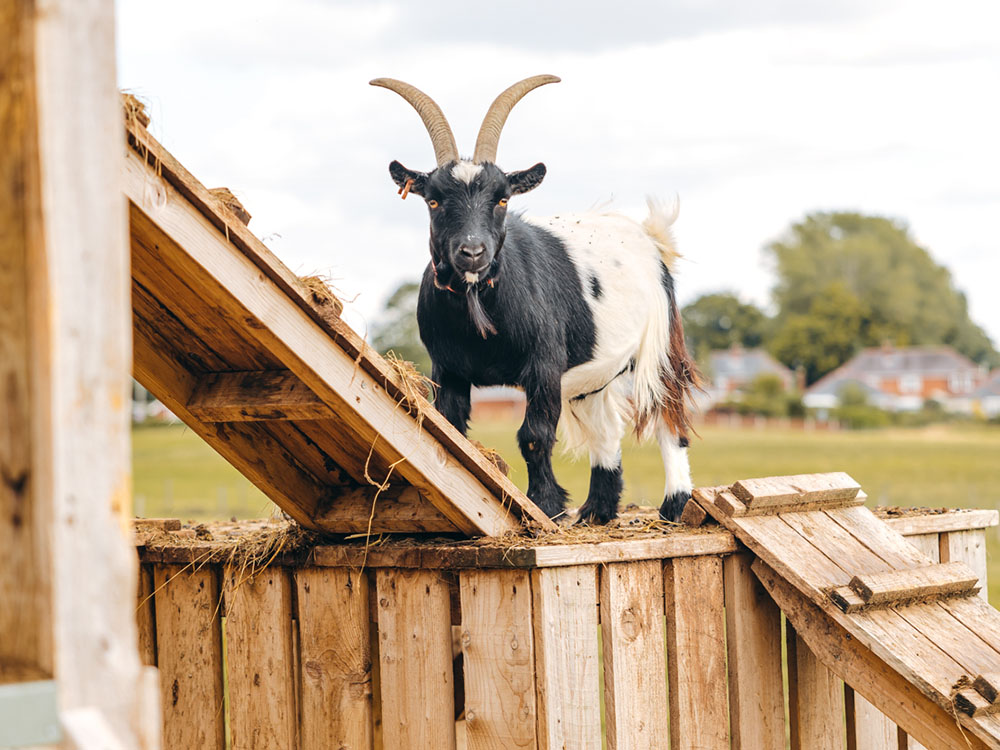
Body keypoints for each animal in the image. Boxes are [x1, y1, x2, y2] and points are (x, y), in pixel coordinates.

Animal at [372, 76, 700, 524]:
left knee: (670, 418)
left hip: (661, 345)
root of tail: (650, 237)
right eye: (433, 200)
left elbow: (534, 435)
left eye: (502, 198)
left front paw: (544, 505)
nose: (472, 252)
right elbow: (452, 430)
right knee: (606, 430)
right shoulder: (448, 368)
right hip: (592, 377)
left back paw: (673, 505)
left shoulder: (544, 364)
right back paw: (597, 511)